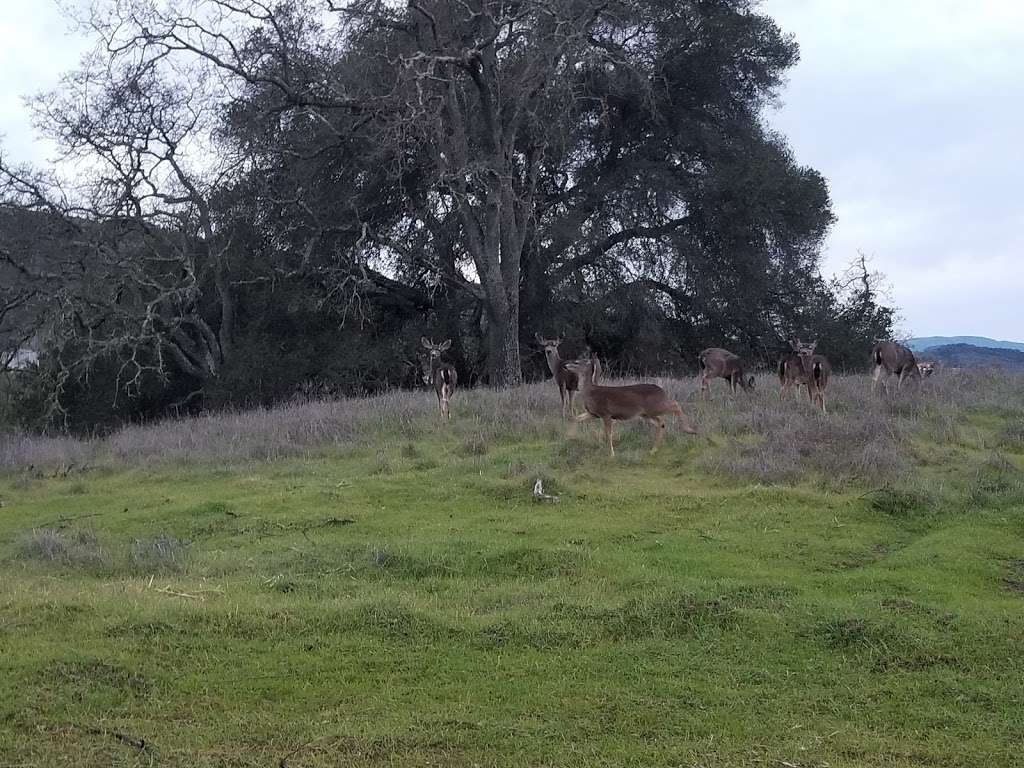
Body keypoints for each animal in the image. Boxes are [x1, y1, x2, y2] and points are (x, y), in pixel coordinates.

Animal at [565, 360, 700, 460]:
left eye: (577, 362)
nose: (565, 366)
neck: (590, 392)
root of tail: (662, 391)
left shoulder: (606, 413)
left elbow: (608, 434)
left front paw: (612, 454)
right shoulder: (593, 413)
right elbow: (574, 418)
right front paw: (570, 437)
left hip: (655, 406)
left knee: (675, 405)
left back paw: (690, 430)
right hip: (646, 413)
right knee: (661, 422)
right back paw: (653, 450)